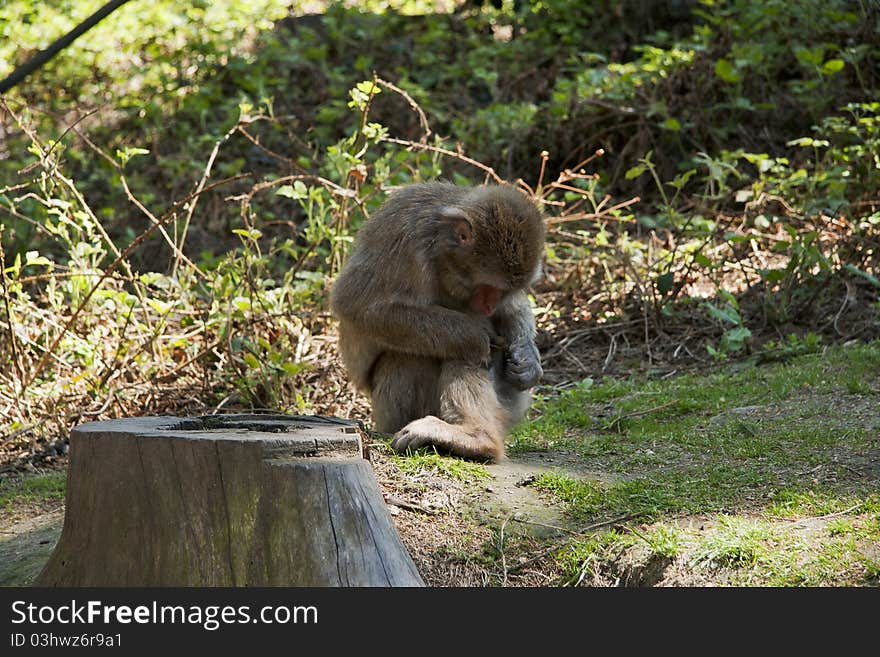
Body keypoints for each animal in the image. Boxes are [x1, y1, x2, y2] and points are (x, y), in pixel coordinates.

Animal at [330, 179, 544, 462]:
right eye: (488, 287)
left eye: (503, 291)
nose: (489, 306)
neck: (438, 253)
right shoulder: (403, 242)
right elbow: (357, 305)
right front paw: (474, 333)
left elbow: (511, 309)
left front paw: (527, 359)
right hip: (390, 415)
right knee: (413, 356)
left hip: (511, 404)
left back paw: (476, 438)